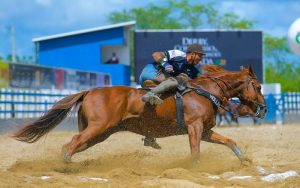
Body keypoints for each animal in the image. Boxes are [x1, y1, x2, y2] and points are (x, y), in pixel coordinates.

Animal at [13, 64, 268, 163]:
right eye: (258, 86)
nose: (264, 108)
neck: (205, 91)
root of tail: (89, 91)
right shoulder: (194, 127)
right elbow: (195, 153)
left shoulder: (205, 130)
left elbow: (229, 141)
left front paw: (244, 159)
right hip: (97, 127)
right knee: (73, 142)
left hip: (99, 133)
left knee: (71, 145)